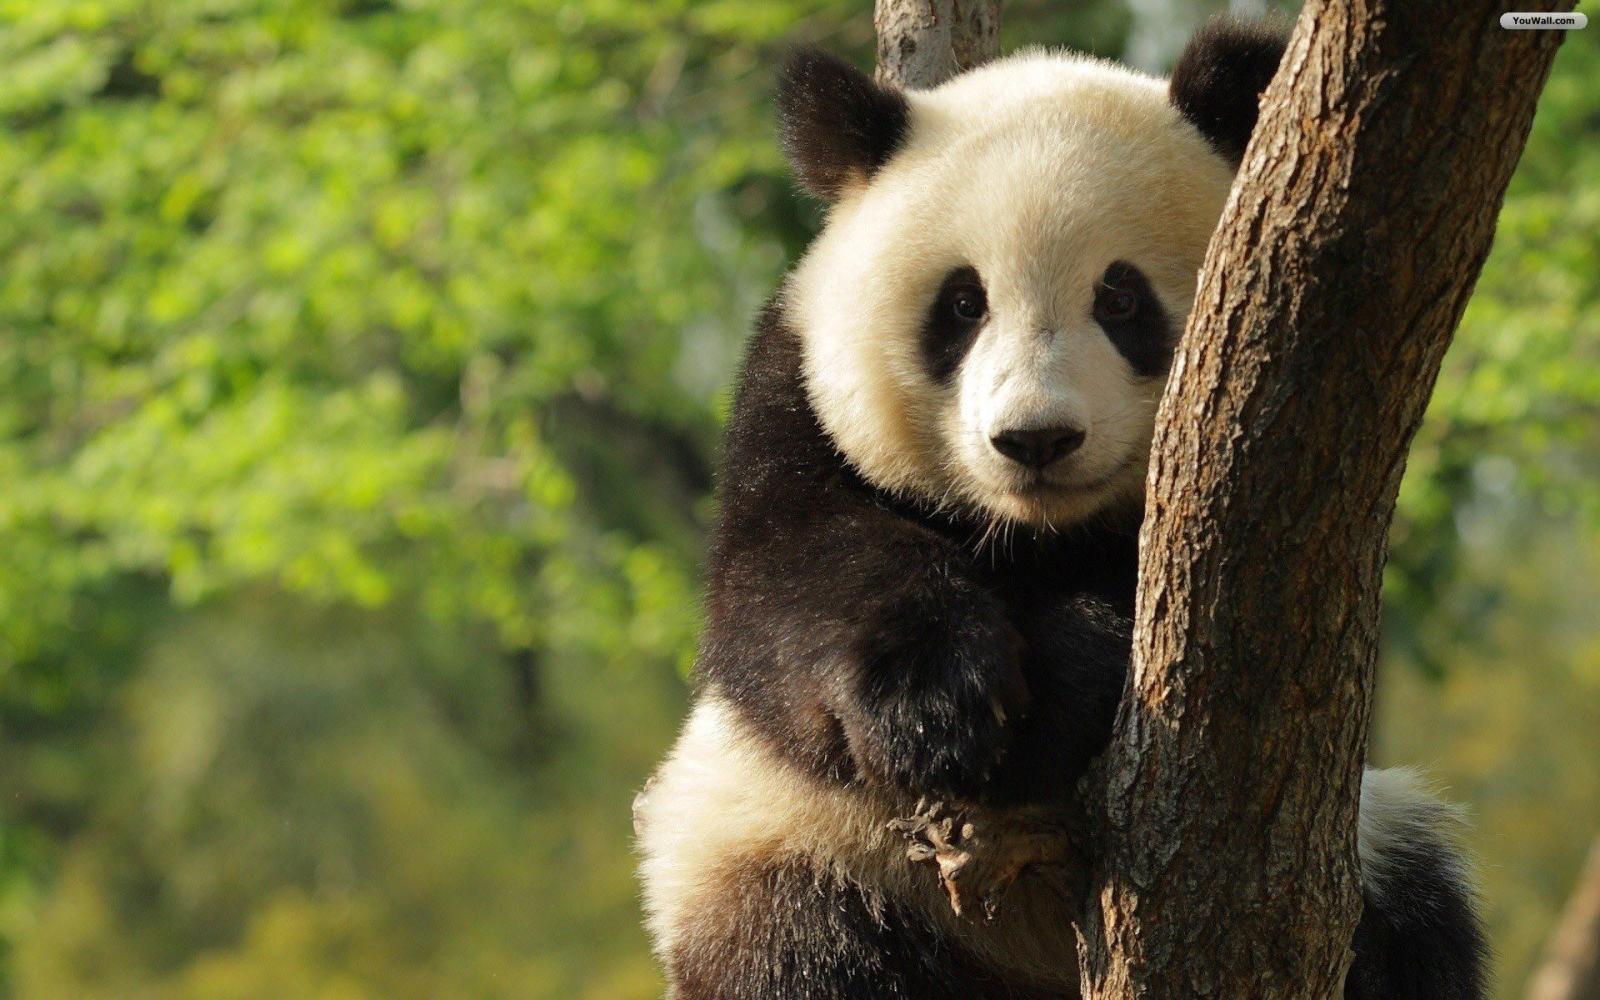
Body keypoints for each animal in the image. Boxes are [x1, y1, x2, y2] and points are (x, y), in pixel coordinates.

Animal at [635, 18, 1487, 1000]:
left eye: (1119, 297)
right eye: (962, 304)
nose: (1035, 440)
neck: (1034, 535)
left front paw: (1058, 686)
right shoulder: (794, 398)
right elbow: (784, 589)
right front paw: (940, 706)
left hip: (1374, 842)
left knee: (1420, 923)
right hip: (776, 849)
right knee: (798, 948)